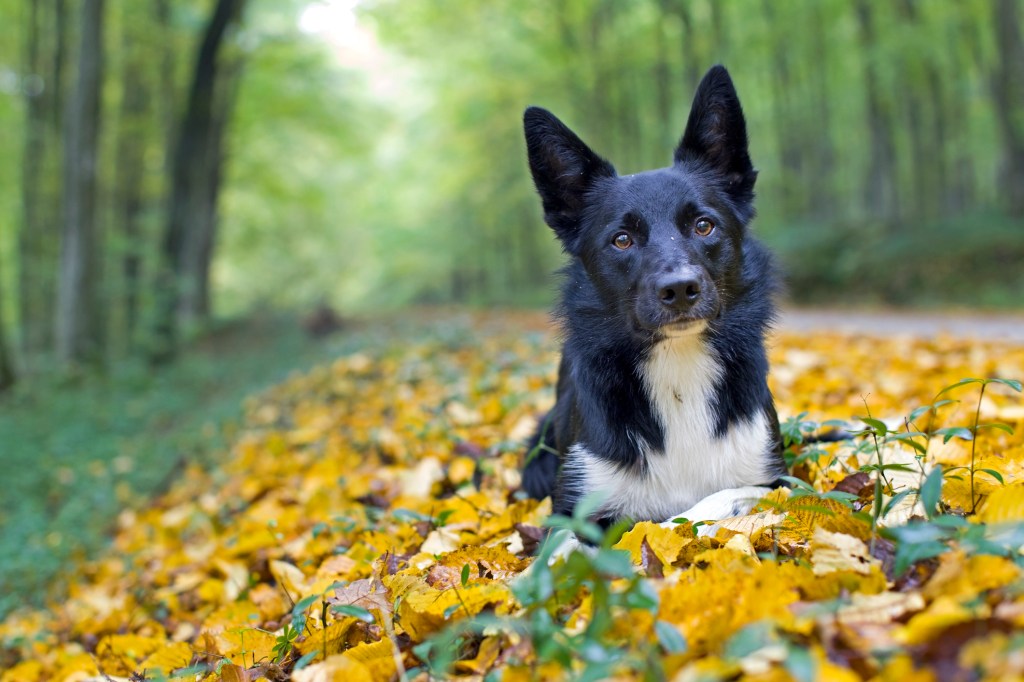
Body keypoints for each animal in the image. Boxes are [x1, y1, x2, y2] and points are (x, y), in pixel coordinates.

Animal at [520, 65, 782, 532]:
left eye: (703, 225)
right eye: (622, 239)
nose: (679, 290)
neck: (677, 366)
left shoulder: (775, 476)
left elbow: (716, 501)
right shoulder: (571, 512)